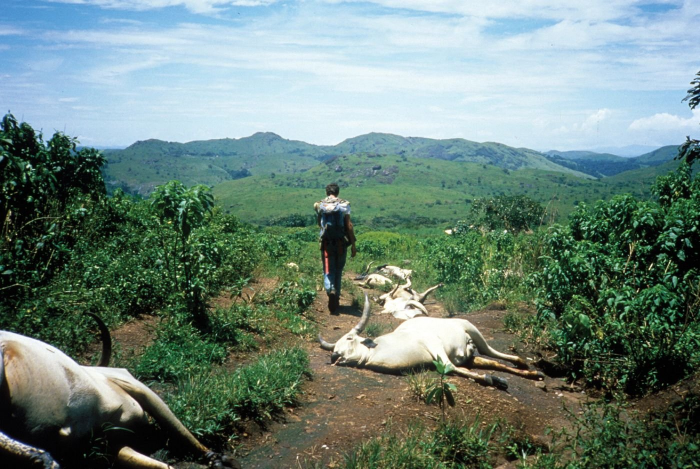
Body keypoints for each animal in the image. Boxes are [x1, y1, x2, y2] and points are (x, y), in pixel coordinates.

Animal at [0, 314, 239, 468]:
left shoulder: (109, 443)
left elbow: (163, 465)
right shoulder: (132, 385)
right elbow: (175, 426)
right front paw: (216, 458)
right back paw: (42, 457)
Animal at [320, 294, 544, 390]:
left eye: (349, 338)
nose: (334, 356)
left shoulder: (434, 345)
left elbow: (450, 366)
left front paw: (492, 379)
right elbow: (454, 367)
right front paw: (494, 379)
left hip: (473, 330)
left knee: (492, 352)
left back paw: (524, 364)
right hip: (471, 354)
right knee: (492, 361)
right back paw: (532, 373)